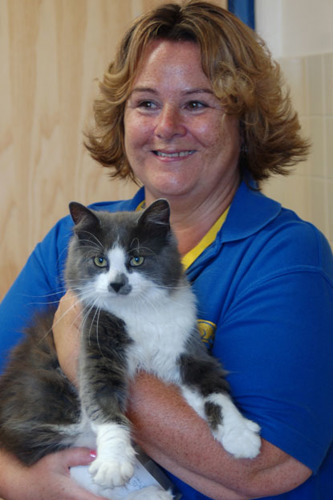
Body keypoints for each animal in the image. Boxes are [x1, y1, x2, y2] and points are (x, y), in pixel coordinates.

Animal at [0, 200, 260, 500]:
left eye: (136, 259)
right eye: (100, 261)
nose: (117, 284)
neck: (138, 310)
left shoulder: (187, 350)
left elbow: (215, 392)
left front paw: (241, 435)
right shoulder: (96, 352)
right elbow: (105, 407)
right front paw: (113, 462)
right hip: (55, 426)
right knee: (88, 480)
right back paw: (152, 493)